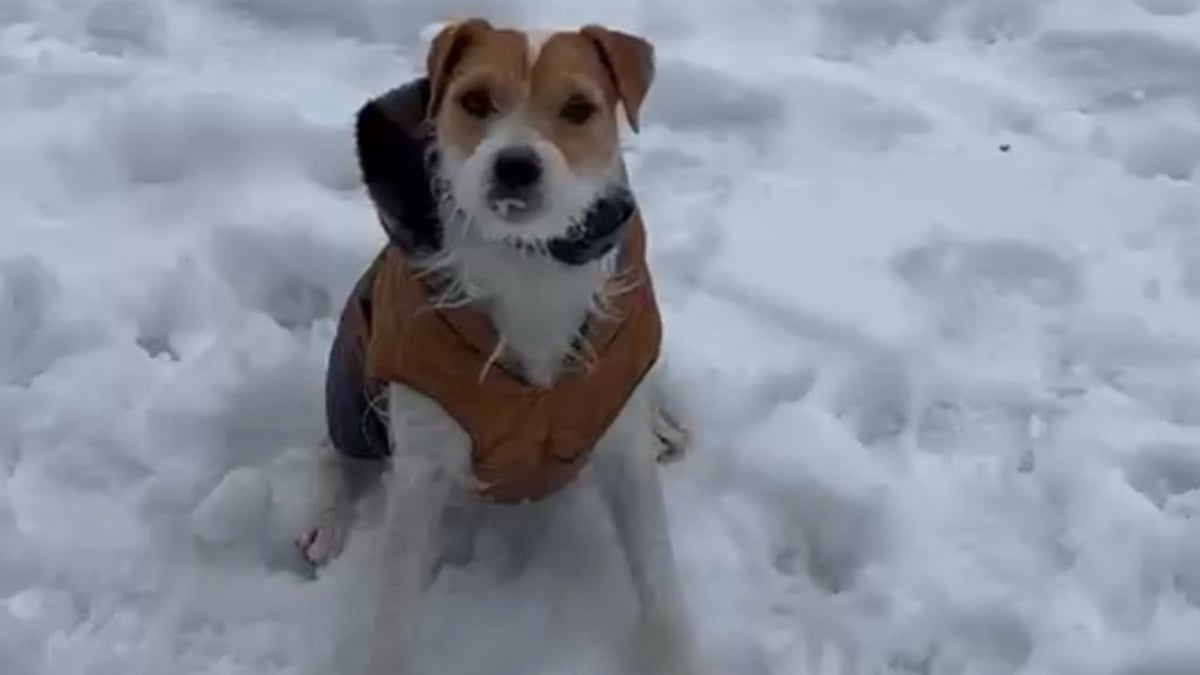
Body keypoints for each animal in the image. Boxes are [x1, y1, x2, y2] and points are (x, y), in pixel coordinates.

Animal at [291, 18, 700, 667]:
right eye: (475, 101)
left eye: (578, 108)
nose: (515, 165)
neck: (528, 261)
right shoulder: (422, 464)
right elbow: (392, 608)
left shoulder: (624, 455)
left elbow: (660, 581)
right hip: (354, 383)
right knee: (335, 449)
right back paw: (325, 518)